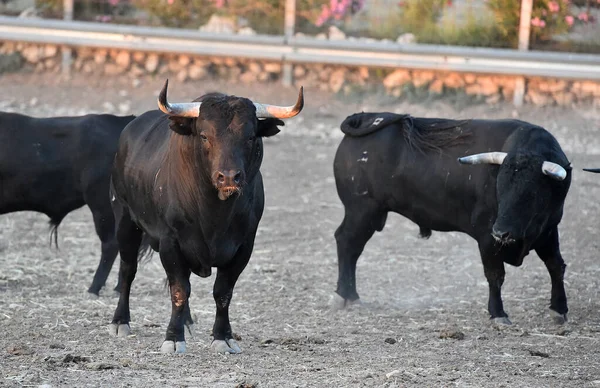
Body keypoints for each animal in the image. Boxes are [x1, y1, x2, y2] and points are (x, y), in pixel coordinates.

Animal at [108, 80, 304, 354]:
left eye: (250, 136)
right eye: (204, 135)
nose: (229, 177)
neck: (214, 216)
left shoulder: (243, 246)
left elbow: (222, 293)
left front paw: (223, 337)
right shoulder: (171, 241)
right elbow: (179, 290)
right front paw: (173, 338)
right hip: (125, 221)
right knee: (128, 270)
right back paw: (120, 322)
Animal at [332, 112, 572, 324]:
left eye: (532, 193)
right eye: (500, 188)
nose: (501, 232)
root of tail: (366, 117)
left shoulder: (549, 231)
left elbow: (555, 266)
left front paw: (559, 309)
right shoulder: (486, 238)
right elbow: (495, 275)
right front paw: (498, 313)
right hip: (361, 211)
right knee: (347, 243)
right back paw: (347, 295)